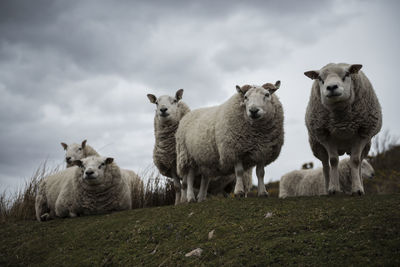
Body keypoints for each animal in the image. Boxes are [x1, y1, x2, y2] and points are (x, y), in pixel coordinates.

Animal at [304, 63, 382, 196]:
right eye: (320, 78)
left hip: (366, 146)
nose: (331, 87)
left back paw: (361, 186)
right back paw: (327, 189)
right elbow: (333, 161)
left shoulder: (362, 134)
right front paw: (334, 189)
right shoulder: (326, 136)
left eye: (347, 74)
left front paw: (357, 189)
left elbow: (355, 161)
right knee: (325, 166)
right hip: (318, 146)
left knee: (359, 163)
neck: (342, 121)